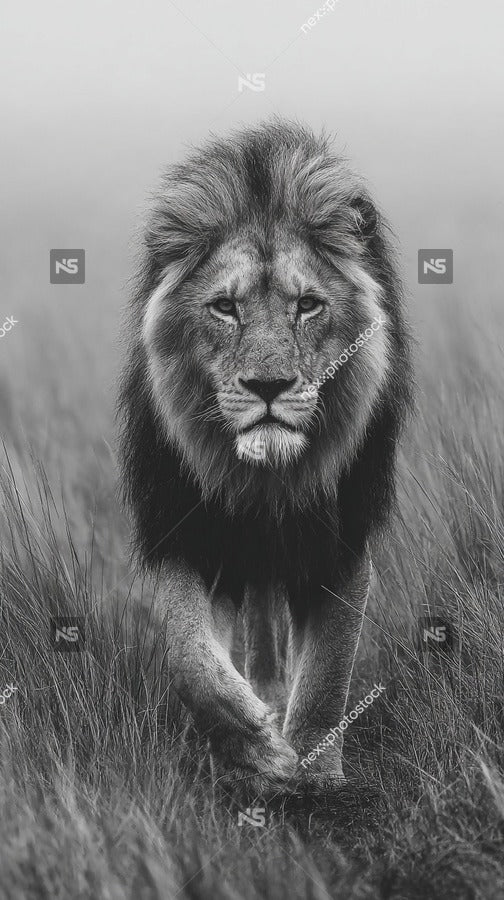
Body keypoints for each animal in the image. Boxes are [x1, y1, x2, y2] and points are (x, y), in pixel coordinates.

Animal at [118, 119, 412, 797]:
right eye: (226, 308)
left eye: (307, 305)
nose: (269, 387)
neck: (266, 480)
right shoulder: (184, 528)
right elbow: (188, 655)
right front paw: (255, 753)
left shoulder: (341, 541)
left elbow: (328, 675)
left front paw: (316, 772)